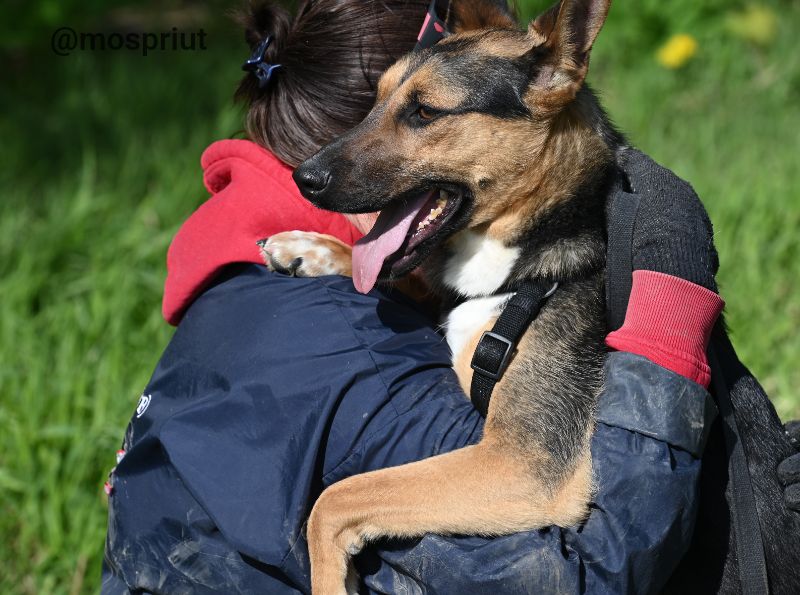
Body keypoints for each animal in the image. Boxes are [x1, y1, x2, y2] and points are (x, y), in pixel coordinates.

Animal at [262, 2, 800, 592]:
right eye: (373, 101)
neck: (537, 261)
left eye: (424, 112)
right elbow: (410, 281)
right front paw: (312, 250)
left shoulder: (526, 465)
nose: (304, 178)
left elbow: (336, 498)